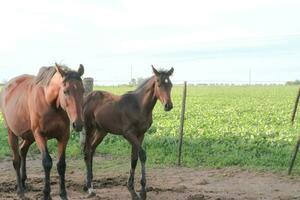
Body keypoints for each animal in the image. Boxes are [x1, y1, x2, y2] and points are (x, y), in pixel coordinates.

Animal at [0, 64, 84, 200]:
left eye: (83, 91)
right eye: (65, 91)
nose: (78, 124)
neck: (49, 102)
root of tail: (7, 86)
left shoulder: (63, 136)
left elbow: (61, 165)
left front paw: (63, 194)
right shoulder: (40, 135)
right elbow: (47, 162)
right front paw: (46, 194)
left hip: (29, 136)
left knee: (23, 150)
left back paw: (23, 182)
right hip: (12, 133)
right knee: (16, 160)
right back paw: (20, 191)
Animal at [82, 66, 175, 200]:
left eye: (170, 85)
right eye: (159, 84)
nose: (168, 106)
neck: (139, 106)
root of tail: (87, 97)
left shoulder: (140, 135)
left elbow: (134, 157)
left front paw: (132, 189)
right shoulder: (128, 134)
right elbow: (142, 154)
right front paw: (142, 191)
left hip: (101, 131)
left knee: (92, 150)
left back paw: (88, 183)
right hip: (89, 128)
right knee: (86, 151)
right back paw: (89, 187)